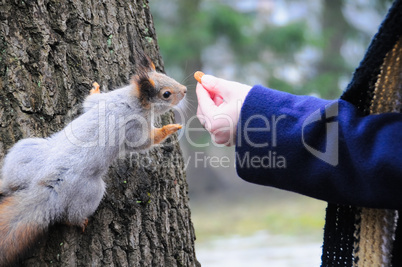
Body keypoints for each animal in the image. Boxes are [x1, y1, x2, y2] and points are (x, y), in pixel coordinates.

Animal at [0, 58, 187, 266]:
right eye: (166, 94)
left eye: (164, 75)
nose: (185, 90)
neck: (132, 99)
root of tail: (48, 185)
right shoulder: (135, 126)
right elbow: (144, 142)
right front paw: (169, 128)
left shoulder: (104, 100)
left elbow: (90, 102)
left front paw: (95, 88)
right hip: (90, 192)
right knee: (71, 215)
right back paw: (80, 221)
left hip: (25, 152)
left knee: (10, 183)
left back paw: (2, 184)